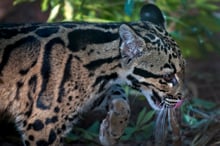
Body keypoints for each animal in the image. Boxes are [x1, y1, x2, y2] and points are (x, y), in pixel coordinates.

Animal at [0, 3, 186, 146]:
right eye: (168, 77)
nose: (182, 99)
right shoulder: (42, 123)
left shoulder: (91, 92)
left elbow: (120, 98)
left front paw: (111, 131)